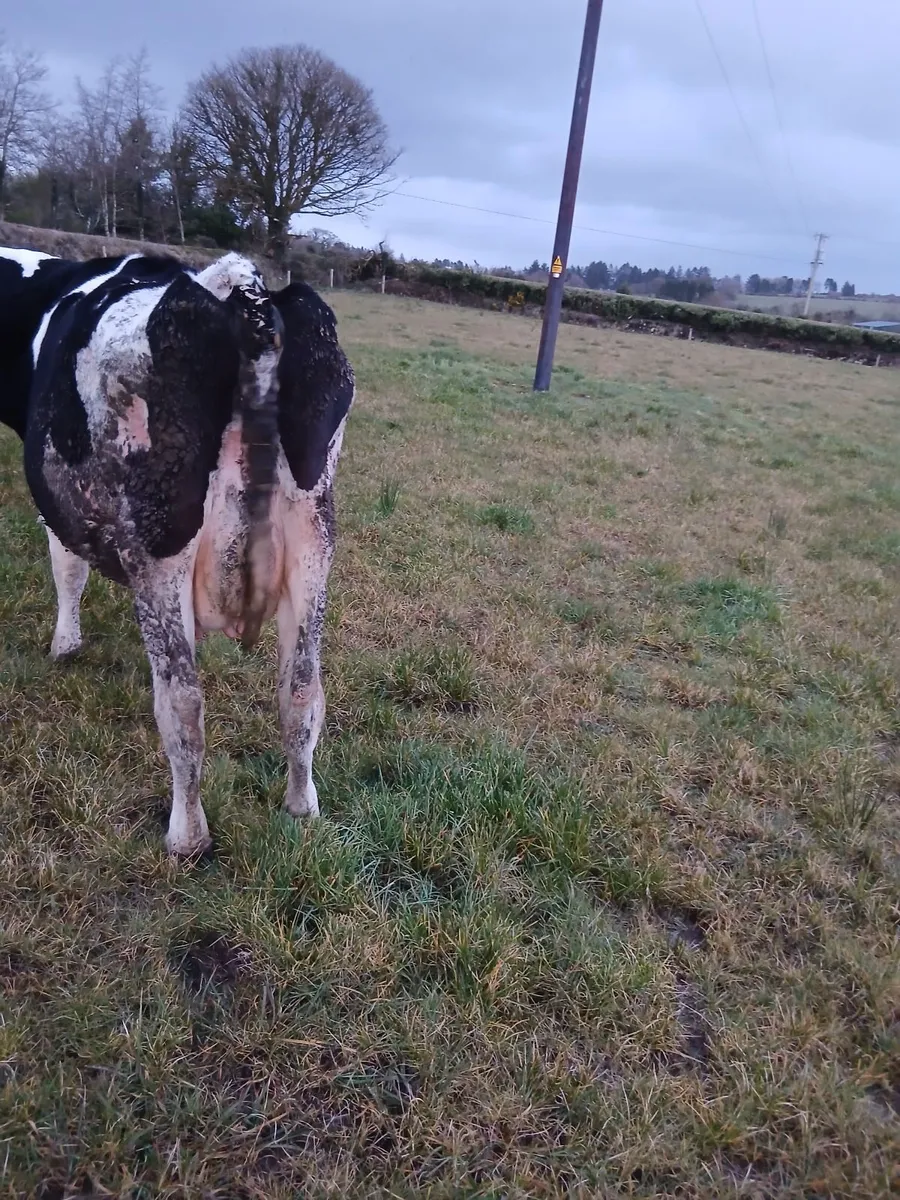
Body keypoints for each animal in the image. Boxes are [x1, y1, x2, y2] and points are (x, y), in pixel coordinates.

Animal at [0, 245, 354, 857]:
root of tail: (246, 300)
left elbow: (67, 567)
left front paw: (64, 645)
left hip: (159, 545)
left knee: (182, 704)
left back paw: (186, 837)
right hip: (314, 535)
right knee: (303, 688)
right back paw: (301, 807)